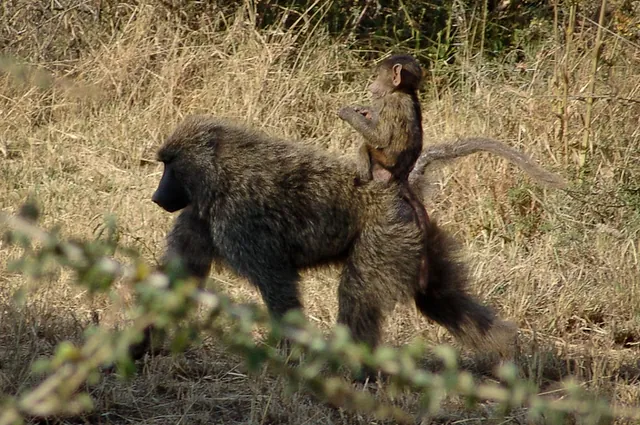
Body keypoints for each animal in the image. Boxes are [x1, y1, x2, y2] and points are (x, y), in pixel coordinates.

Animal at [143, 114, 517, 380]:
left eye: (170, 165)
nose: (157, 197)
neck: (220, 174)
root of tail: (398, 187)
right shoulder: (197, 219)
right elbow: (174, 283)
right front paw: (139, 349)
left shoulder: (239, 223)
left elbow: (279, 288)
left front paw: (290, 362)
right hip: (416, 239)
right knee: (438, 298)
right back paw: (511, 360)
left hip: (386, 235)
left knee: (357, 297)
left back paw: (357, 374)